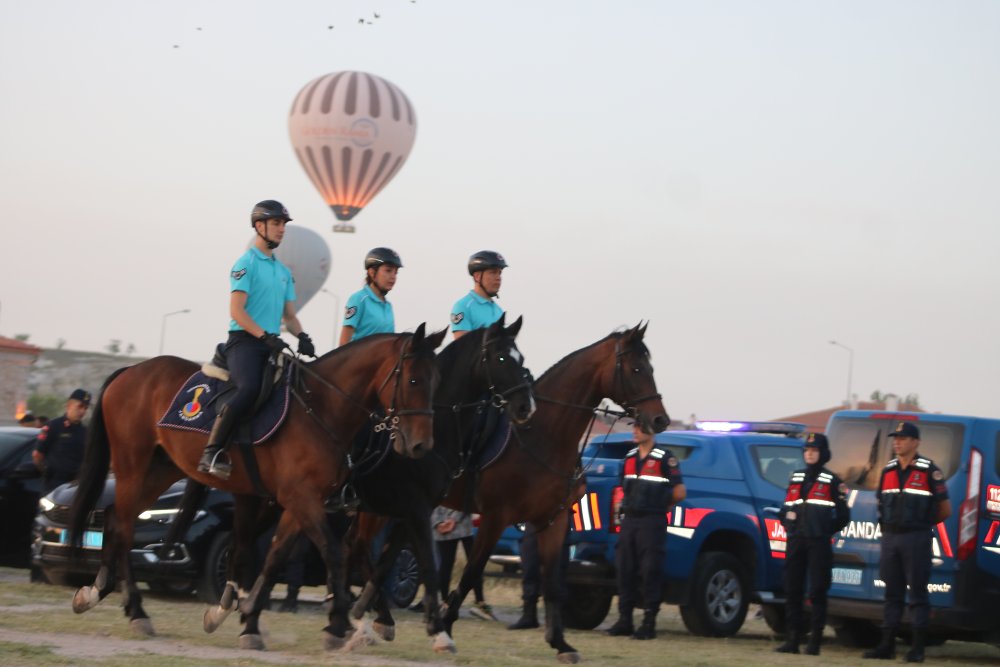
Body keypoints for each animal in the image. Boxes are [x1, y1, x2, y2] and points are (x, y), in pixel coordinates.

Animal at [66, 326, 446, 648]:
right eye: (413, 380)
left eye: (435, 382)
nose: (421, 446)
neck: (321, 407)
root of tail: (131, 371)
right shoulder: (302, 499)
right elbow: (333, 553)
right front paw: (336, 623)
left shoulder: (302, 502)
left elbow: (275, 556)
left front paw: (245, 619)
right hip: (133, 463)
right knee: (124, 524)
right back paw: (135, 610)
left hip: (161, 469)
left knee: (115, 517)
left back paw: (98, 592)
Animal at [196, 318, 540, 652]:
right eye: (501, 358)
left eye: (522, 359)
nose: (526, 407)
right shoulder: (410, 508)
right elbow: (422, 562)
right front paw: (434, 629)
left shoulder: (403, 510)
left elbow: (385, 560)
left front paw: (368, 617)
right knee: (249, 543)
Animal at [354, 322, 672, 664]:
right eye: (637, 369)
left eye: (651, 367)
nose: (660, 419)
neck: (543, 435)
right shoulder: (496, 517)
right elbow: (471, 573)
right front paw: (446, 628)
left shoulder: (552, 520)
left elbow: (552, 583)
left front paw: (560, 643)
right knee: (362, 547)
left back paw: (376, 614)